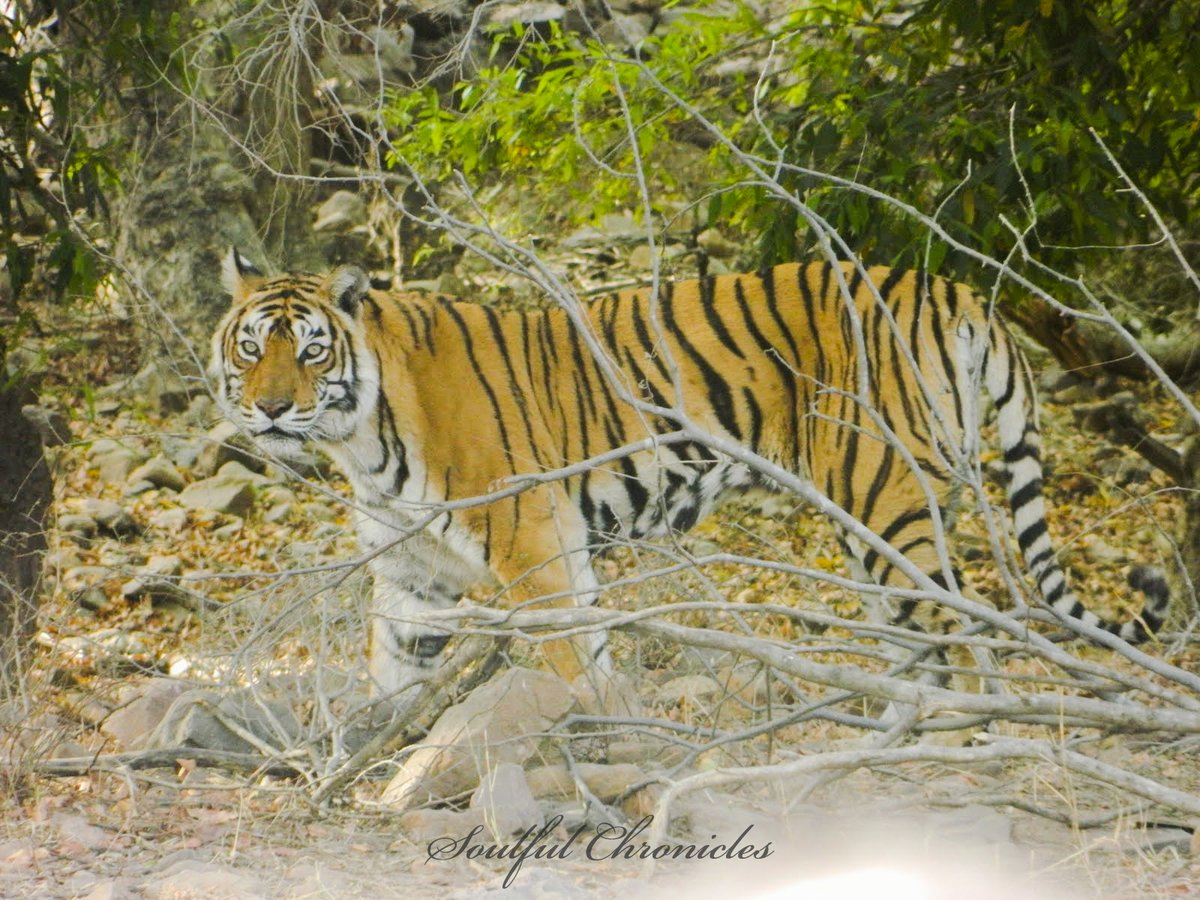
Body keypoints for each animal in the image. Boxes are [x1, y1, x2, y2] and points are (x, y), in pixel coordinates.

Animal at [208, 250, 1171, 700]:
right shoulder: (415, 571)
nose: (270, 410)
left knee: (968, 633)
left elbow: (570, 655)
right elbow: (394, 675)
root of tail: (961, 291)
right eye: (253, 348)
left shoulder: (533, 542)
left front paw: (589, 736)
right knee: (922, 635)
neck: (361, 436)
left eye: (311, 351)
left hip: (889, 498)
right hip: (876, 520)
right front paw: (370, 767)